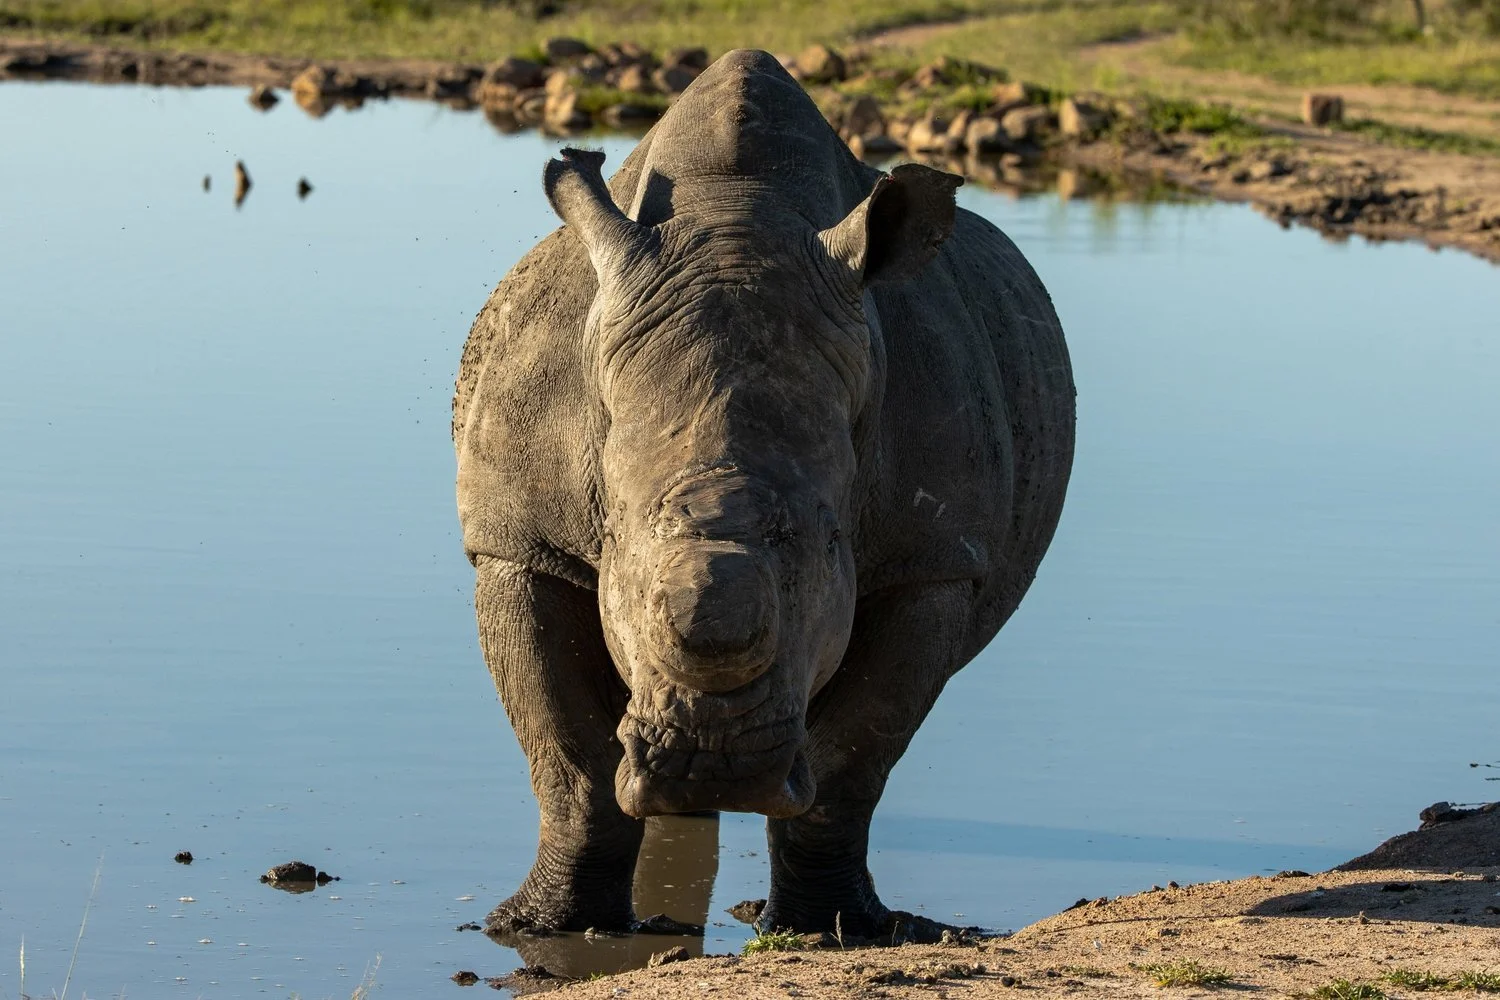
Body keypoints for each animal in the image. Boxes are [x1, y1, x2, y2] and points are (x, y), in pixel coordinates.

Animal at [452, 48, 1075, 938]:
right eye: (616, 543)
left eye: (830, 543)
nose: (713, 764)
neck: (733, 222)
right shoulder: (518, 540)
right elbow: (567, 752)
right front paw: (540, 928)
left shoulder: (935, 559)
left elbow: (851, 763)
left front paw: (828, 932)